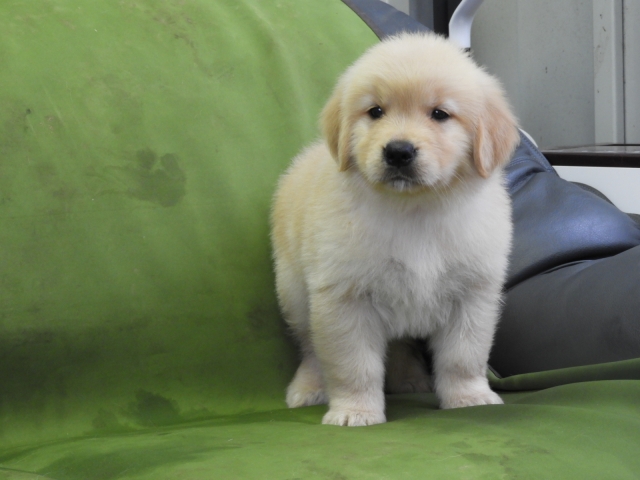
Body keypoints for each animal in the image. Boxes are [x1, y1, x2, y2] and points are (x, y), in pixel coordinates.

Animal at [271, 32, 519, 426]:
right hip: (294, 292)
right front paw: (355, 411)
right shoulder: (344, 298)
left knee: (400, 343)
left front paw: (469, 397)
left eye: (439, 114)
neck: (414, 209)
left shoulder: (473, 294)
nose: (398, 152)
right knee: (310, 348)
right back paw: (309, 387)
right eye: (375, 111)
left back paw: (408, 379)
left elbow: (463, 357)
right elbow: (353, 365)